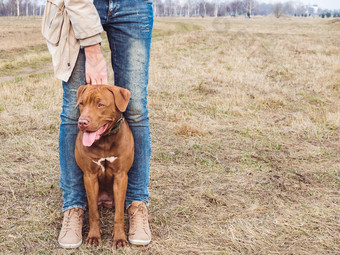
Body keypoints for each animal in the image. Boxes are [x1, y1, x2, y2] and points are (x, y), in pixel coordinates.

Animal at [74, 84, 134, 248]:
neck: (105, 140)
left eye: (100, 105)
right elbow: (94, 213)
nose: (82, 122)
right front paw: (94, 236)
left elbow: (118, 215)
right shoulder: (90, 176)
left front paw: (119, 238)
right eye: (82, 103)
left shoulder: (121, 177)